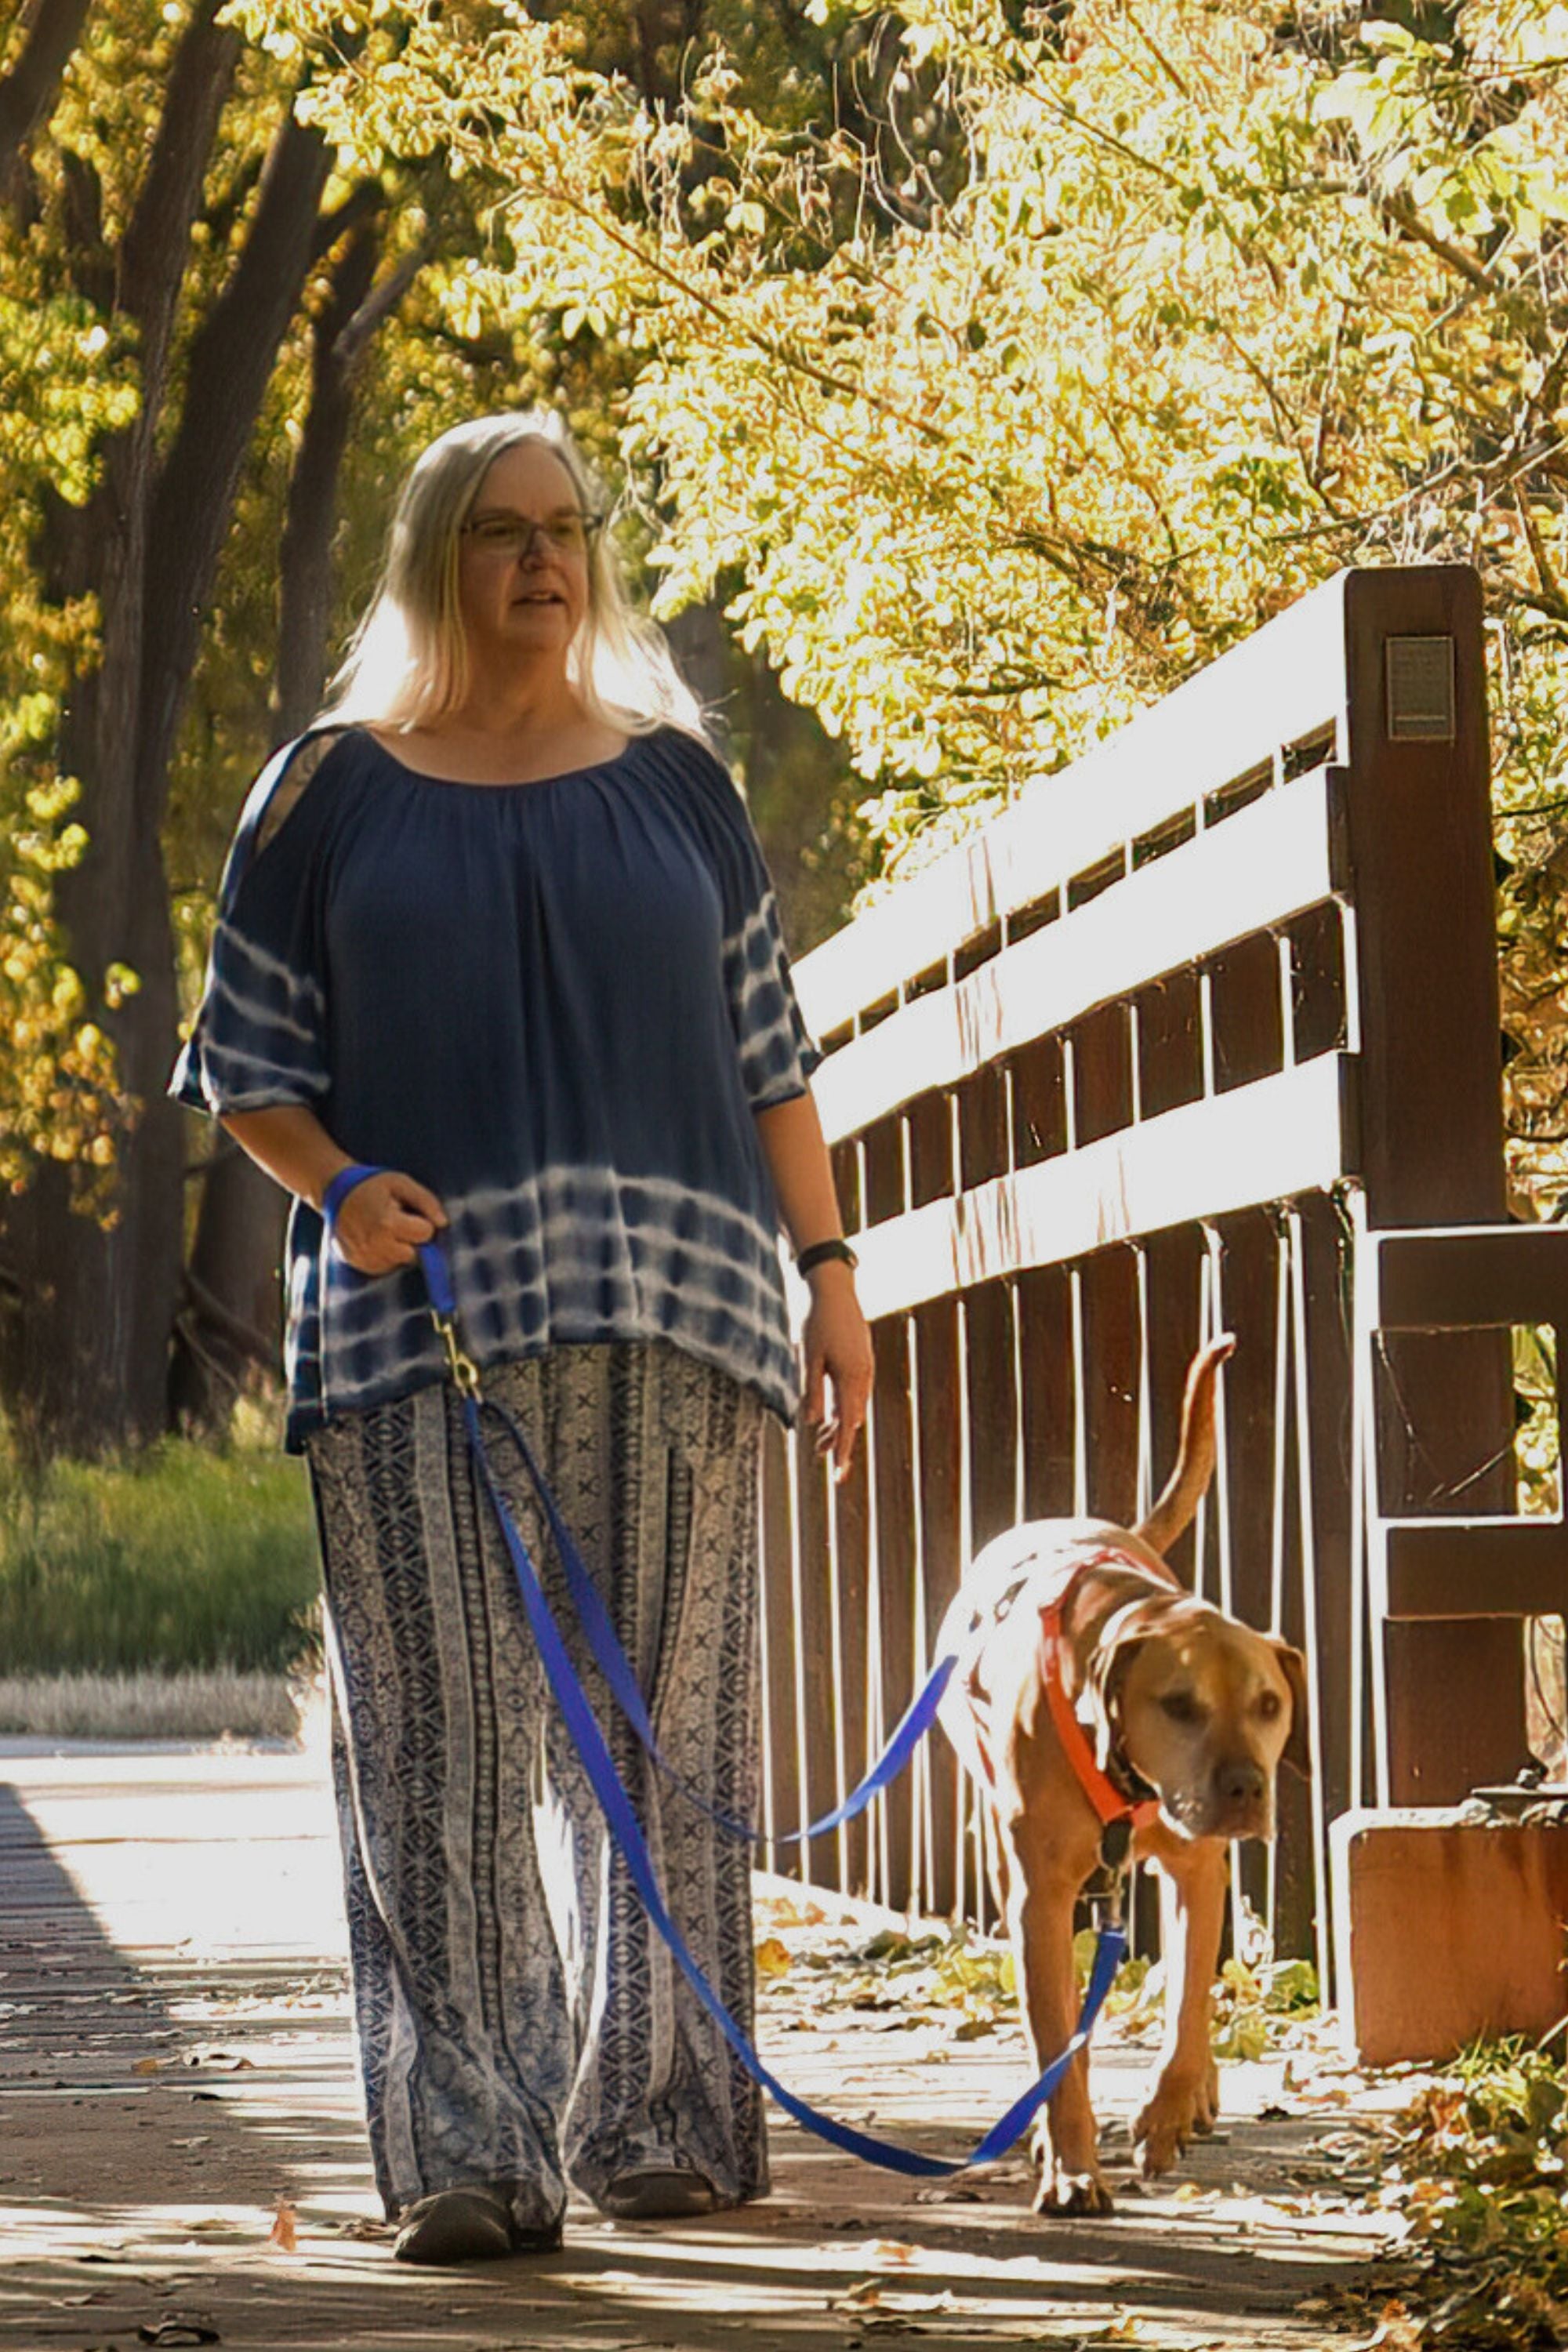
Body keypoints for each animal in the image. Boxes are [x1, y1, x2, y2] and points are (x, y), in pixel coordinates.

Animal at [940, 1336, 1307, 2211]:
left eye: (1269, 1704)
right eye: (1177, 1705)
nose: (1246, 1788)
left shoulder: (1196, 1867)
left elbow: (1185, 2004)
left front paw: (1169, 2109)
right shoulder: (1038, 1899)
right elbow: (1057, 2043)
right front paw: (1072, 2166)